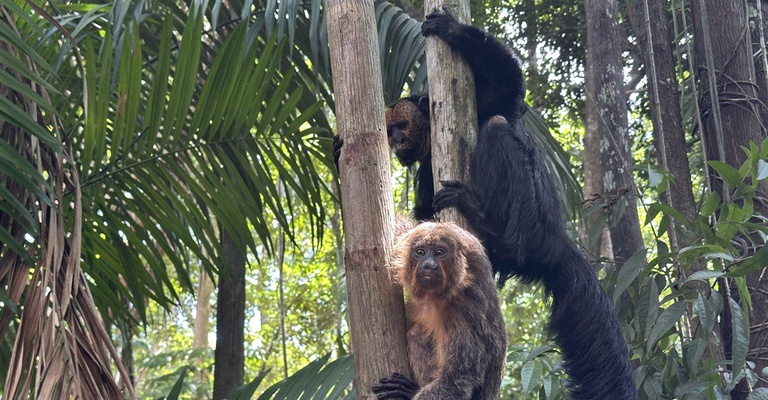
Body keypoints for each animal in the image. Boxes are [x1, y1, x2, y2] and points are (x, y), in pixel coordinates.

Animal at [371, 221, 507, 400]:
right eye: (420, 252)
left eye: (439, 253)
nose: (429, 265)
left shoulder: (465, 311)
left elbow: (457, 378)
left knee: (416, 334)